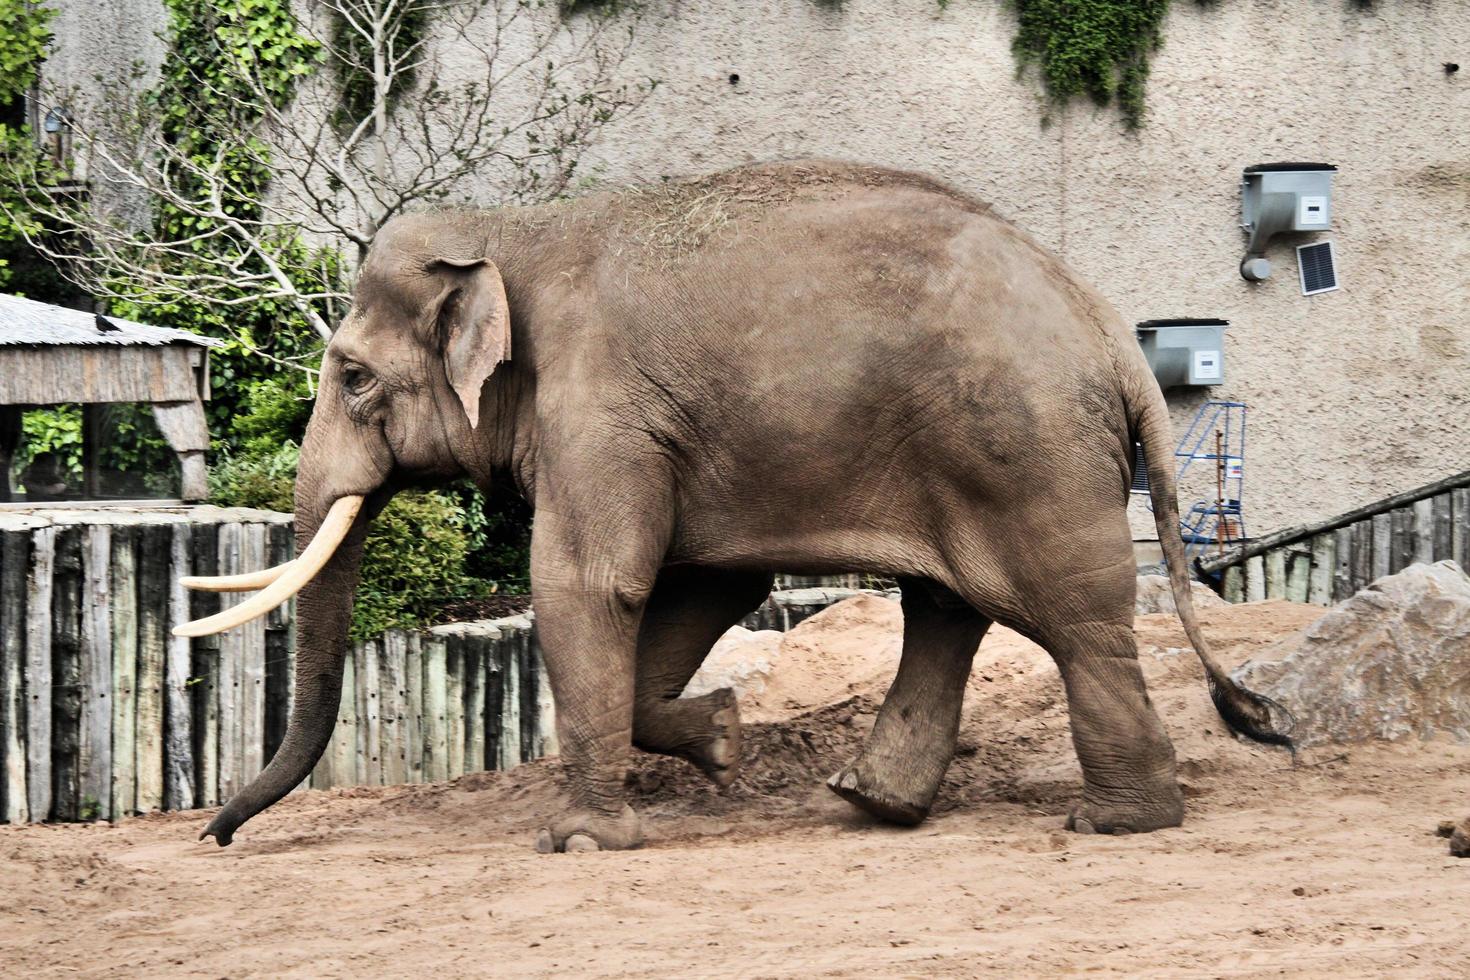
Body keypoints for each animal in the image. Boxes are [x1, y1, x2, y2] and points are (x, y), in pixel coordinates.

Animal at [177, 159, 1293, 852]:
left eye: (353, 377)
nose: (216, 834)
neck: (515, 230)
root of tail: (1108, 323)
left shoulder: (601, 407)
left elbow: (593, 583)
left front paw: (583, 841)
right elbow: (707, 583)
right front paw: (721, 733)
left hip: (1027, 452)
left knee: (1073, 619)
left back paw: (1116, 822)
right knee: (947, 609)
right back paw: (869, 802)